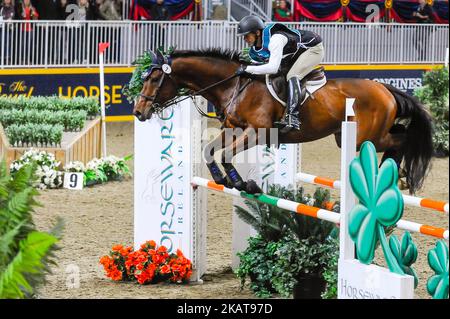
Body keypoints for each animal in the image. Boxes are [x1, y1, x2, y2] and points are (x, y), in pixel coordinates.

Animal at [133, 48, 432, 196]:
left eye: (154, 78)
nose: (138, 111)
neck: (234, 86)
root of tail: (383, 87)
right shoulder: (232, 129)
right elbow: (209, 151)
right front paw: (222, 179)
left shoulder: (257, 132)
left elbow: (226, 154)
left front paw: (243, 185)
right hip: (355, 135)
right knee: (400, 134)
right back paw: (393, 174)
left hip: (364, 137)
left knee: (402, 139)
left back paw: (393, 173)